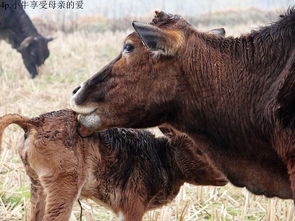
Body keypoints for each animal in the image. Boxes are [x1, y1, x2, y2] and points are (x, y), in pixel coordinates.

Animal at [0, 109, 229, 220]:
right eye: (200, 150)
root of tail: (34, 122)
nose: (225, 177)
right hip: (64, 188)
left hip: (38, 186)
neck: (160, 157)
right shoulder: (132, 208)